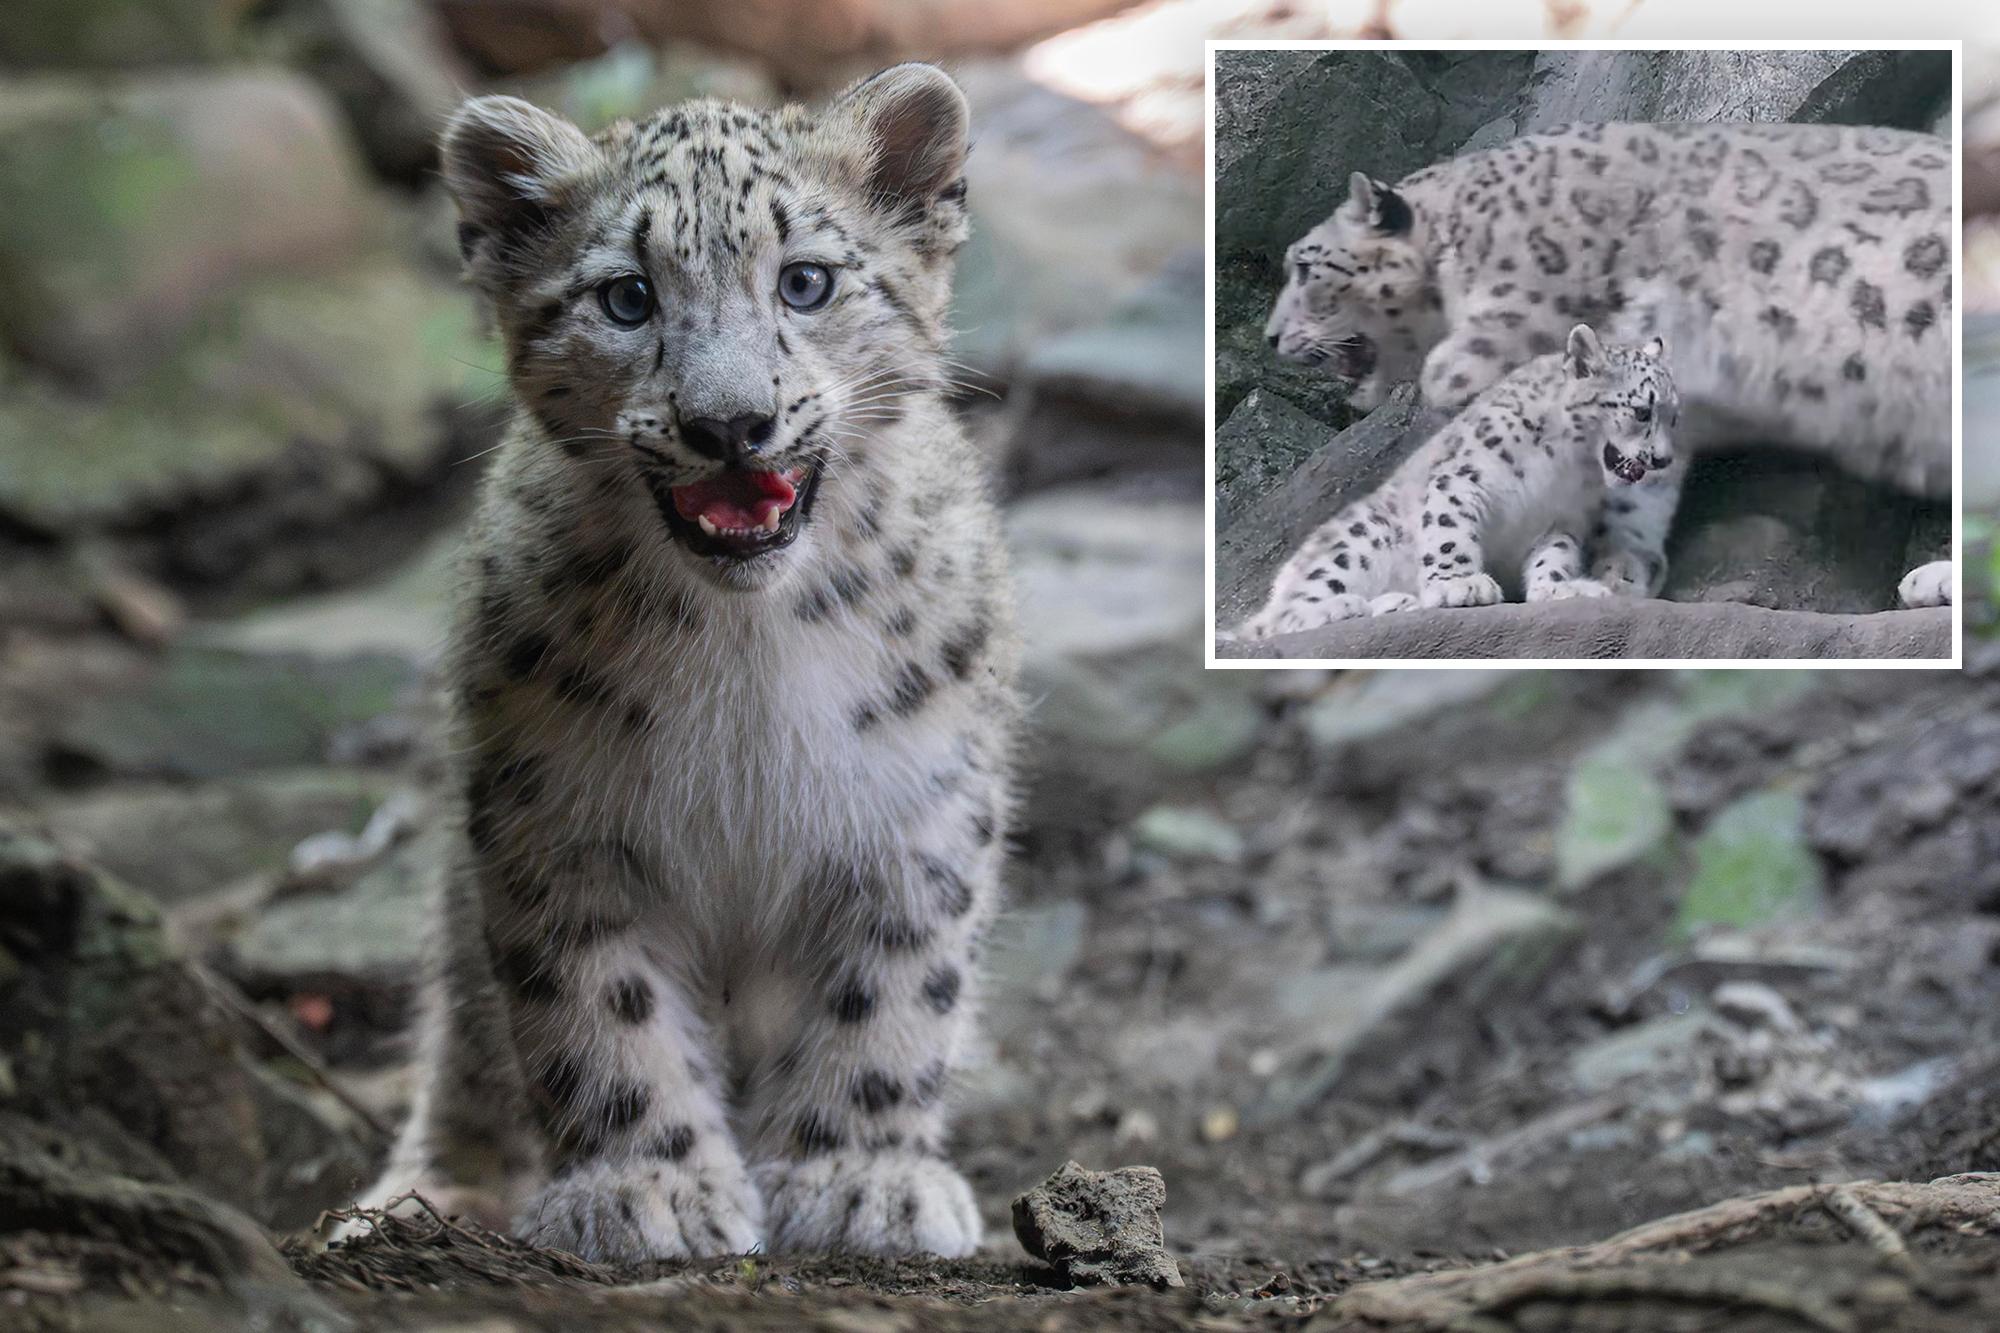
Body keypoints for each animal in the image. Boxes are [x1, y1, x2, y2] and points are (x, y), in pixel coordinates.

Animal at [345, 64, 1021, 1263]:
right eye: (626, 297)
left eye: (805, 281)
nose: (730, 423)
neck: (747, 651)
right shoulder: (556, 813)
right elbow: (594, 1007)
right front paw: (646, 1188)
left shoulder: (918, 802)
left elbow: (894, 992)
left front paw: (861, 1177)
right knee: (463, 1035)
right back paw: (432, 1192)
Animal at [1230, 325, 1682, 643]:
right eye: (1642, 411)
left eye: (1674, 415)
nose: (1663, 458)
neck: (1567, 463)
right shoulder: (1462, 479)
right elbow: (1449, 533)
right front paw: (1459, 586)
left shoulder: (1561, 518)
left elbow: (1554, 555)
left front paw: (1560, 589)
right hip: (1358, 536)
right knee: (1272, 620)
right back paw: (1342, 607)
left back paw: (1395, 603)